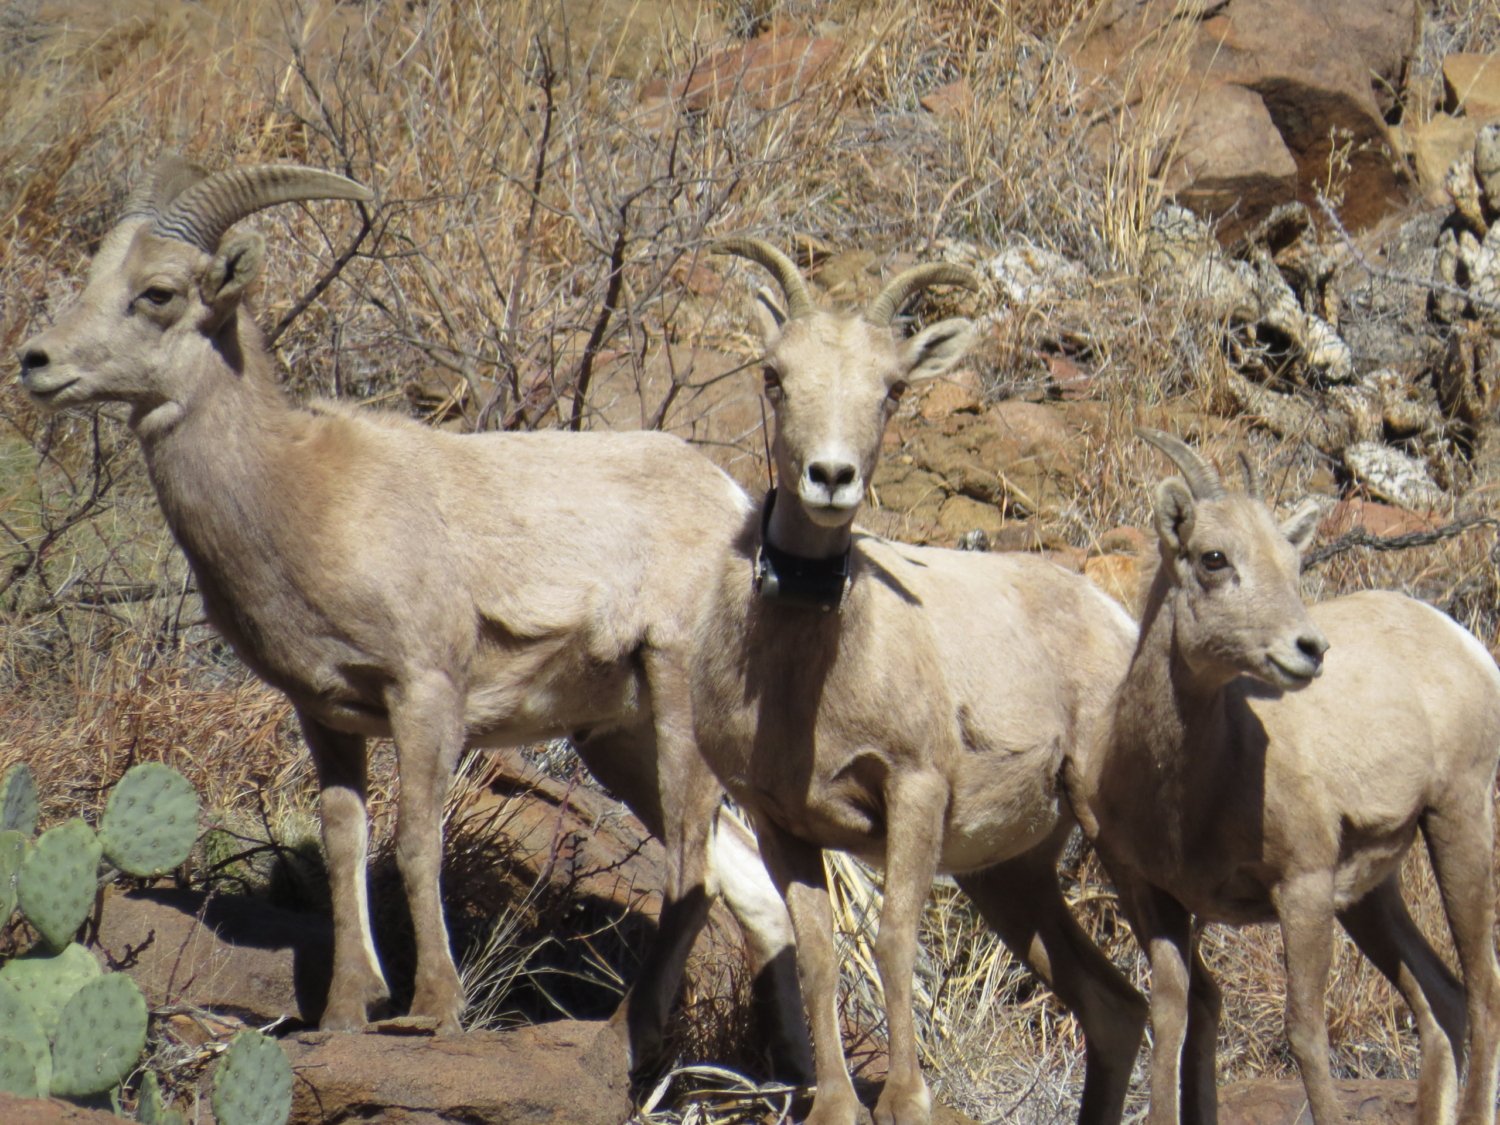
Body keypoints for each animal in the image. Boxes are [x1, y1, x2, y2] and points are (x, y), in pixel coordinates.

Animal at [11, 159, 810, 1074]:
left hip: (675, 710)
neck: (297, 494)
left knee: (695, 872)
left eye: (158, 292)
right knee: (753, 886)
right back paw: (793, 1073)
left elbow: (417, 841)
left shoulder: (426, 692)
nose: (36, 361)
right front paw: (345, 1012)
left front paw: (431, 1010)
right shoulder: (326, 716)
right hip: (618, 739)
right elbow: (346, 845)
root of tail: (737, 506)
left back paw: (625, 1034)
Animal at [690, 243, 1146, 1125]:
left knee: (1184, 987)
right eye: (774, 375)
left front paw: (906, 1097)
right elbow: (820, 945)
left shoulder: (915, 788)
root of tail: (1115, 619)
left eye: (892, 388)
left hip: (1112, 831)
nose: (831, 476)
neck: (810, 679)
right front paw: (836, 1104)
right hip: (1010, 876)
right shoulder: (779, 819)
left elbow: (897, 933)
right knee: (1119, 1007)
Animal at [1068, 426, 1500, 1122]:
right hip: (1372, 894)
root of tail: (1460, 640)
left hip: (1457, 822)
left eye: (1292, 565)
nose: (1310, 651)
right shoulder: (1153, 897)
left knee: (1484, 990)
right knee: (1443, 997)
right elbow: (1170, 1021)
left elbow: (1304, 1032)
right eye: (1214, 558)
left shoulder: (1302, 887)